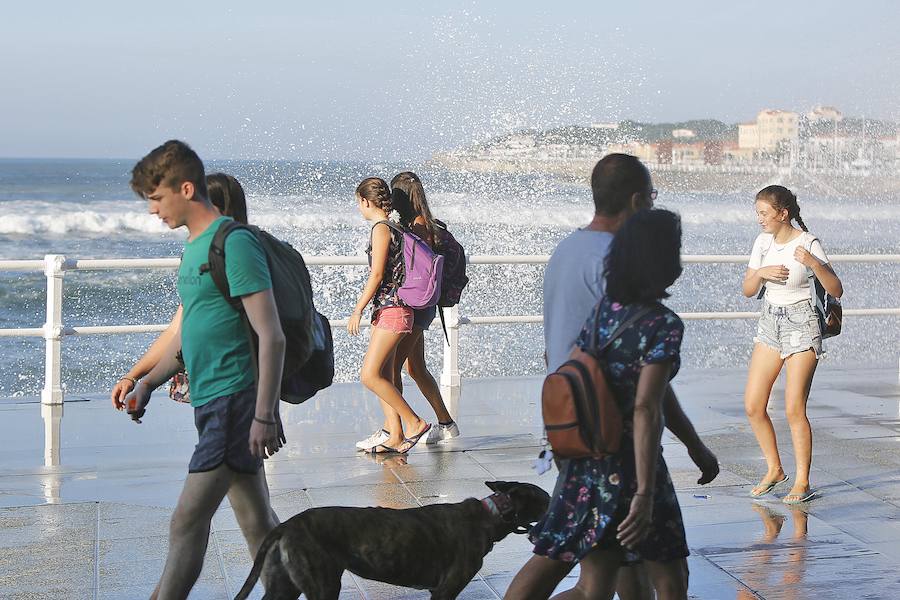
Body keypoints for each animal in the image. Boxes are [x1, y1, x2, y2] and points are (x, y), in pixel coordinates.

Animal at [234, 480, 548, 600]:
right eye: (546, 499)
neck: (490, 515)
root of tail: (288, 524)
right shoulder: (446, 589)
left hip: (283, 585)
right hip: (323, 584)